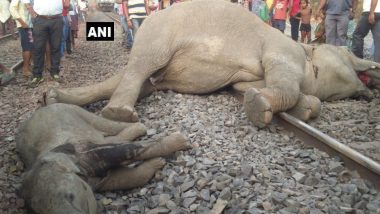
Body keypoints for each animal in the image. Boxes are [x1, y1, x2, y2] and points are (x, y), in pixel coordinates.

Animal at [16, 103, 191, 213]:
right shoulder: (97, 182)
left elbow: (126, 150)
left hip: (74, 110)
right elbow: (124, 178)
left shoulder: (82, 151)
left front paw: (180, 140)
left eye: (70, 196)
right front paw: (157, 162)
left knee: (107, 126)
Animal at [45, 0, 380, 127]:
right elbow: (283, 79)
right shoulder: (282, 47)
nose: (369, 92)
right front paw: (259, 108)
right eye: (348, 56)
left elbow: (246, 86)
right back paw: (119, 115)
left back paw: (53, 98)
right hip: (158, 36)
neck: (308, 51)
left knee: (135, 79)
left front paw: (301, 107)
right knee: (141, 66)